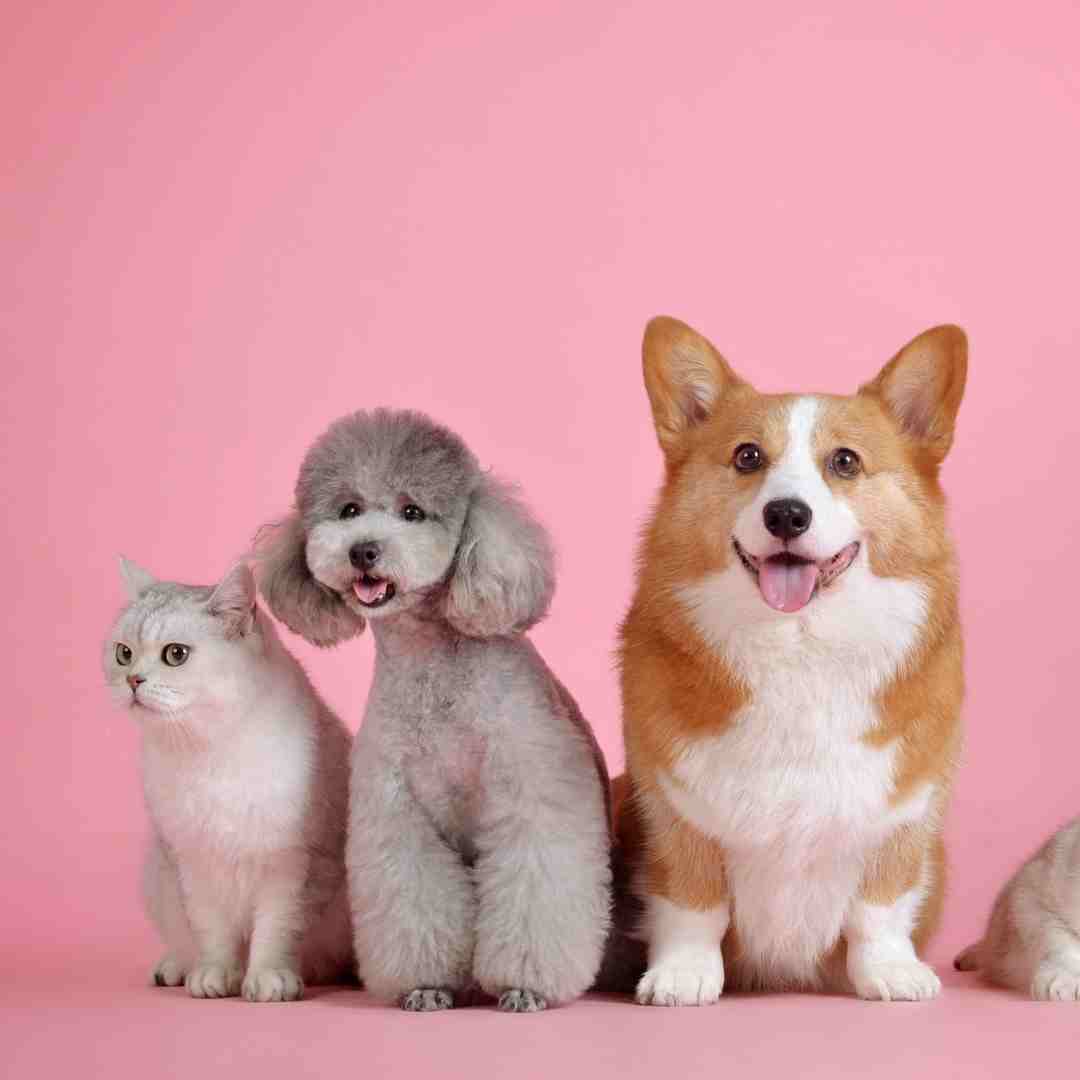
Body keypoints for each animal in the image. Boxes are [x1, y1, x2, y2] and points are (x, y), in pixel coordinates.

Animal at [104, 561, 352, 997]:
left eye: (176, 654)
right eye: (124, 653)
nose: (133, 680)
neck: (207, 750)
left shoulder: (292, 864)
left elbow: (277, 928)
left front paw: (269, 978)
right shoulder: (191, 861)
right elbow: (212, 930)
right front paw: (214, 975)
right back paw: (173, 969)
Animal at [622, 317, 967, 1002]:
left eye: (846, 462)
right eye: (747, 456)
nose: (786, 514)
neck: (800, 647)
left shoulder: (905, 812)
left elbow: (880, 905)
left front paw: (890, 971)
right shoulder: (672, 809)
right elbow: (692, 901)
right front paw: (682, 975)